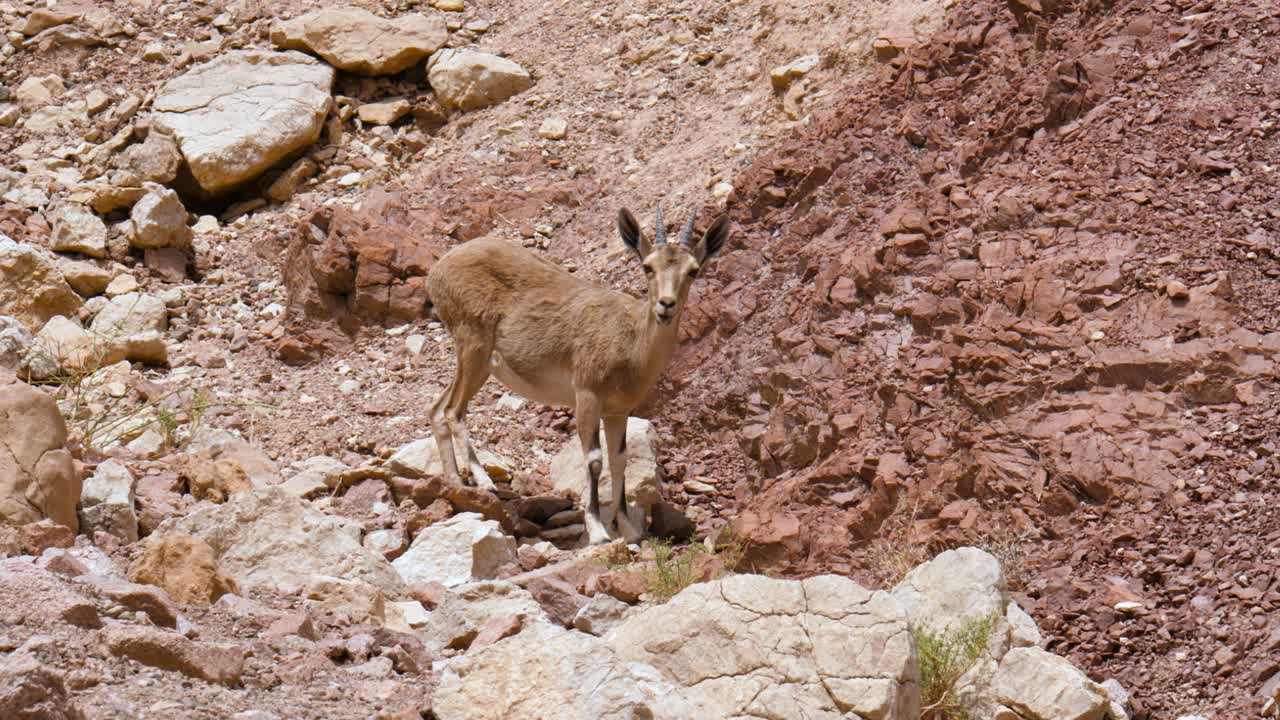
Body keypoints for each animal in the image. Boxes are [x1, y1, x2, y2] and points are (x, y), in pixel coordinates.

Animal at [425, 208, 730, 544]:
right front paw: (597, 529)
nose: (666, 305)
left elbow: (620, 459)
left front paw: (627, 527)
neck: (632, 344)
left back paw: (456, 481)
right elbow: (595, 459)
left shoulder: (618, 410)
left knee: (438, 408)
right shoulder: (587, 394)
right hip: (472, 345)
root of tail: (439, 268)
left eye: (693, 270)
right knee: (453, 410)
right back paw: (480, 481)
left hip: (477, 363)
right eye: (648, 266)